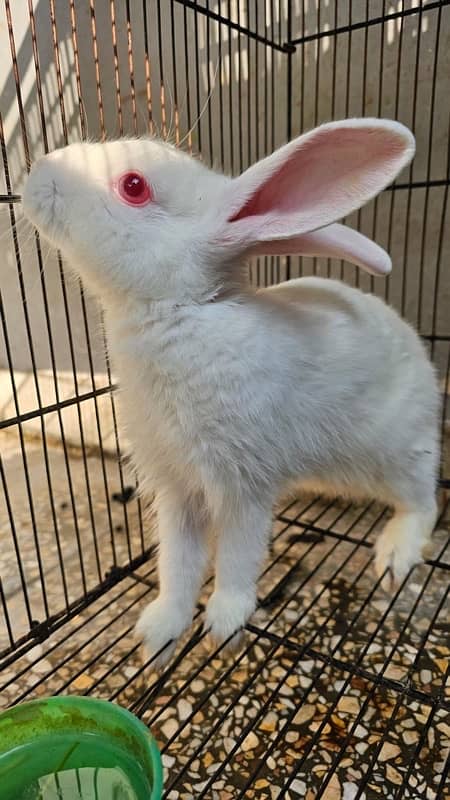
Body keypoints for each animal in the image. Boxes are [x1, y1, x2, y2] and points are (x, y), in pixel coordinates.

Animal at [22, 119, 440, 664]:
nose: (35, 172)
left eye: (133, 186)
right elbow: (177, 562)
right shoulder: (177, 489)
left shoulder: (244, 483)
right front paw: (158, 634)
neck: (180, 313)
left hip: (398, 454)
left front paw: (224, 622)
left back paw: (394, 555)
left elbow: (240, 554)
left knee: (423, 503)